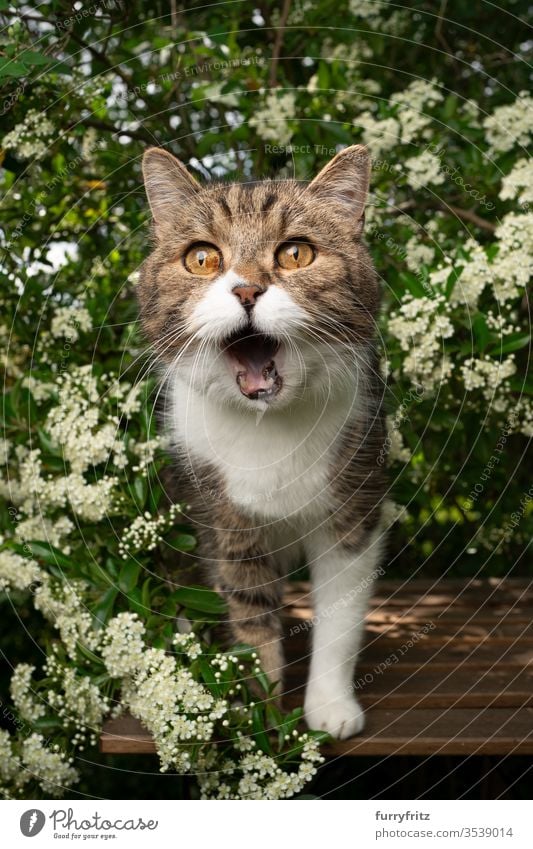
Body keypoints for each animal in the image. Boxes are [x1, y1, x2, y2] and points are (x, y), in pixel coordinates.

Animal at [139, 144, 384, 736]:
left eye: (296, 253)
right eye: (202, 259)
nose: (246, 289)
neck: (267, 426)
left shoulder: (353, 510)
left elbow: (340, 615)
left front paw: (330, 708)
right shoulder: (227, 525)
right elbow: (251, 619)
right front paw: (261, 717)